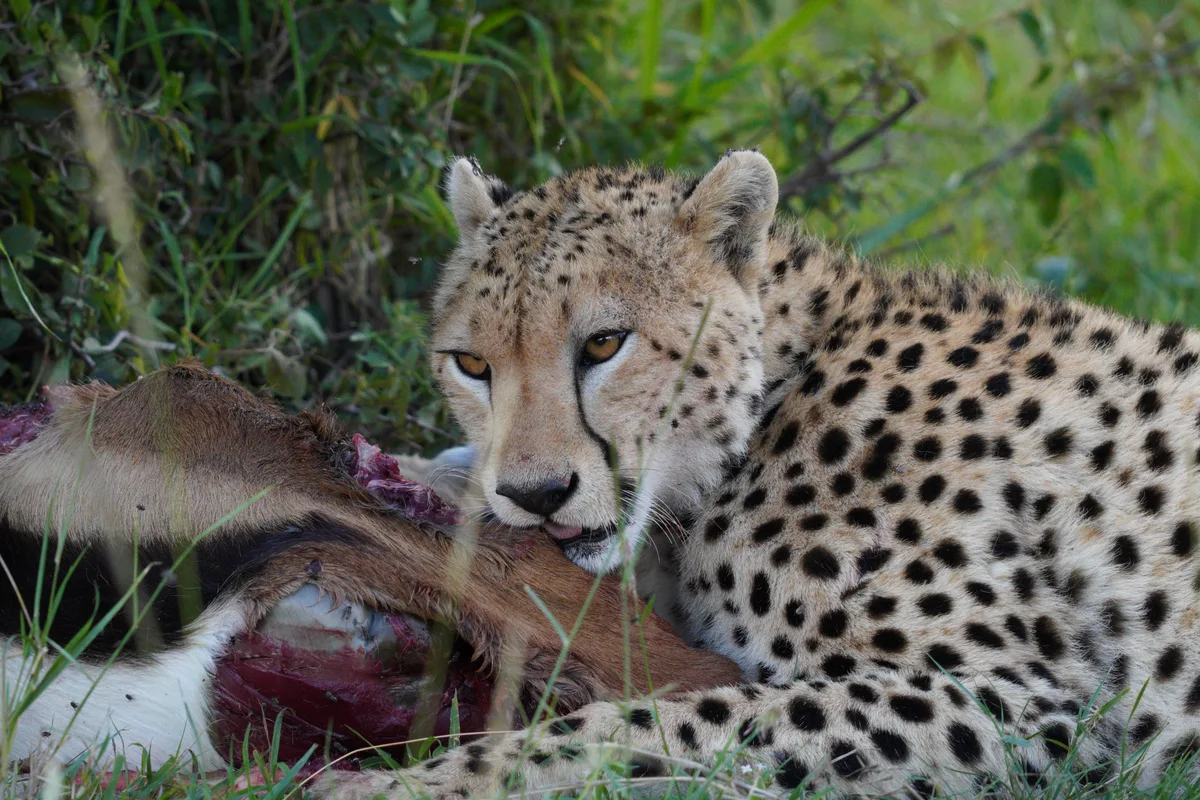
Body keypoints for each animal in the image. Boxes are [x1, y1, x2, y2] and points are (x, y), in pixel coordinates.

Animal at [338, 150, 1200, 798]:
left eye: (604, 344)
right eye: (472, 365)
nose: (535, 494)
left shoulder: (1032, 708)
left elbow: (653, 726)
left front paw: (402, 785)